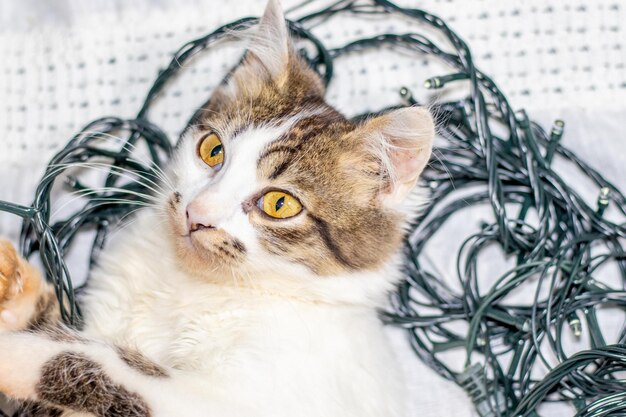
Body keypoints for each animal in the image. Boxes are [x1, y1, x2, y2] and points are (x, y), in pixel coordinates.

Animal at [0, 1, 432, 414]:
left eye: (279, 204)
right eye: (212, 150)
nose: (198, 213)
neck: (189, 286)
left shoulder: (232, 397)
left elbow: (104, 360)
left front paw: (17, 352)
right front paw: (13, 286)